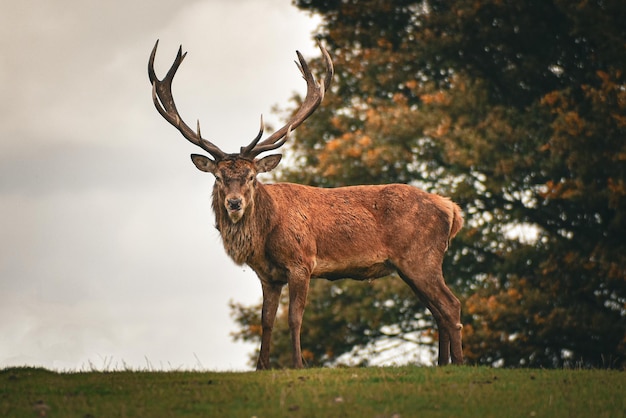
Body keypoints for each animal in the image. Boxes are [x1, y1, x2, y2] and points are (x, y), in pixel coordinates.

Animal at [147, 38, 464, 366]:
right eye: (219, 177)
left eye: (251, 176)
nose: (234, 204)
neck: (266, 235)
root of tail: (452, 210)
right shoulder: (268, 275)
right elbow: (266, 320)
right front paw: (262, 367)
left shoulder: (301, 262)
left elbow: (294, 318)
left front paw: (298, 364)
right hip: (411, 265)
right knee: (437, 311)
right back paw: (442, 365)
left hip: (421, 257)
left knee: (451, 306)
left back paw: (460, 363)